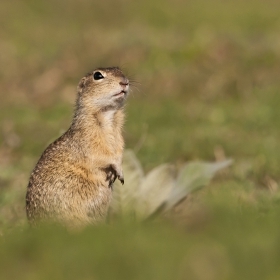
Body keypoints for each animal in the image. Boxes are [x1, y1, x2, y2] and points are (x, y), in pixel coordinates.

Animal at [25, 66, 129, 226]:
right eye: (97, 75)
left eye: (120, 69)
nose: (125, 82)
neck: (109, 115)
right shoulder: (88, 140)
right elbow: (102, 155)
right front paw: (117, 169)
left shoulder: (119, 137)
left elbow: (119, 150)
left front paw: (118, 171)